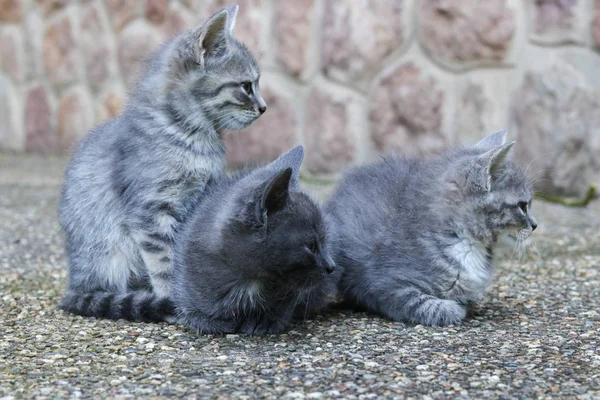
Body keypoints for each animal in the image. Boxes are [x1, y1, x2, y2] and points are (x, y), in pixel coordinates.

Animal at [59, 4, 266, 324]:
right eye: (246, 86)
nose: (264, 107)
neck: (194, 138)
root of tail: (76, 284)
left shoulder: (197, 200)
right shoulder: (150, 211)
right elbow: (165, 261)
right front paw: (174, 300)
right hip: (109, 252)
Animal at [175, 147, 338, 334]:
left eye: (325, 241)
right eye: (311, 246)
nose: (331, 266)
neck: (250, 281)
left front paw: (264, 320)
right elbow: (199, 315)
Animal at [326, 130, 540, 326]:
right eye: (523, 206)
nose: (535, 225)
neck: (463, 239)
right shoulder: (384, 284)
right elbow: (425, 304)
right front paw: (454, 309)